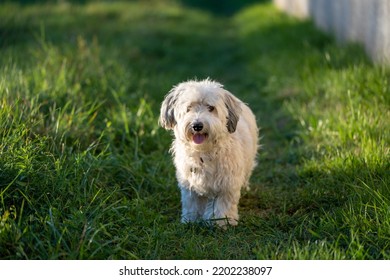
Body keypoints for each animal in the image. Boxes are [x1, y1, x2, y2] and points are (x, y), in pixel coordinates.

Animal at [158, 78, 258, 225]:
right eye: (188, 108)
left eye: (211, 108)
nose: (197, 125)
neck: (203, 152)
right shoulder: (189, 182)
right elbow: (192, 203)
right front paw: (191, 220)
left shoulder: (226, 184)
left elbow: (222, 205)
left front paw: (220, 222)